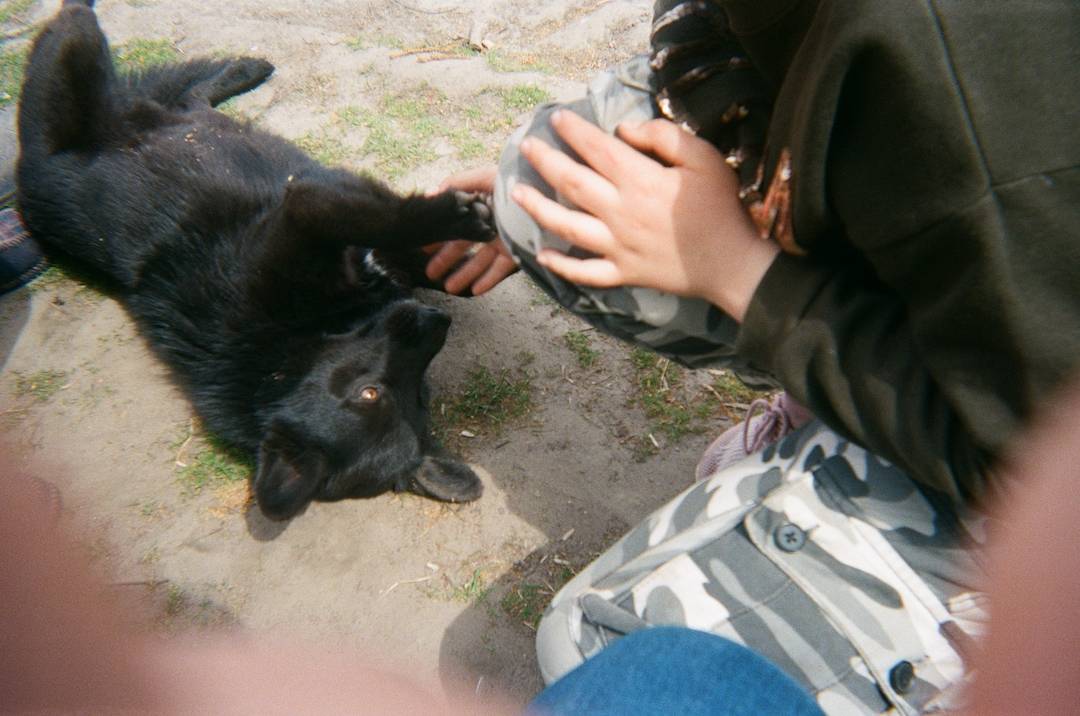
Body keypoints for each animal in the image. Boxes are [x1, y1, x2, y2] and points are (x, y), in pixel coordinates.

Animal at [16, 2, 494, 524]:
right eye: (369, 393)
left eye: (421, 394)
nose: (437, 320)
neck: (291, 340)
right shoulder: (303, 208)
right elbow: (389, 219)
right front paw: (457, 216)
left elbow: (449, 273)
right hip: (71, 79)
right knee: (80, 28)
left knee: (187, 97)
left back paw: (244, 69)